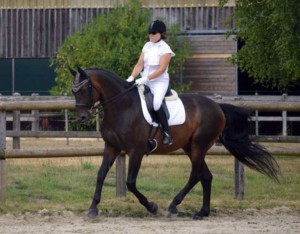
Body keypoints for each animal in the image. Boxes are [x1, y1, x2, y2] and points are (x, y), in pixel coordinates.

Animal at [69, 66, 278, 219]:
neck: (122, 107)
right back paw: (202, 212)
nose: (82, 118)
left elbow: (130, 182)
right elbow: (100, 174)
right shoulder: (111, 148)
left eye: (85, 89)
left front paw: (151, 206)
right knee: (206, 176)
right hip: (190, 146)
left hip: (199, 145)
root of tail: (217, 106)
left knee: (196, 175)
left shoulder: (136, 151)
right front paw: (93, 208)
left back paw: (173, 206)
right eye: (74, 91)